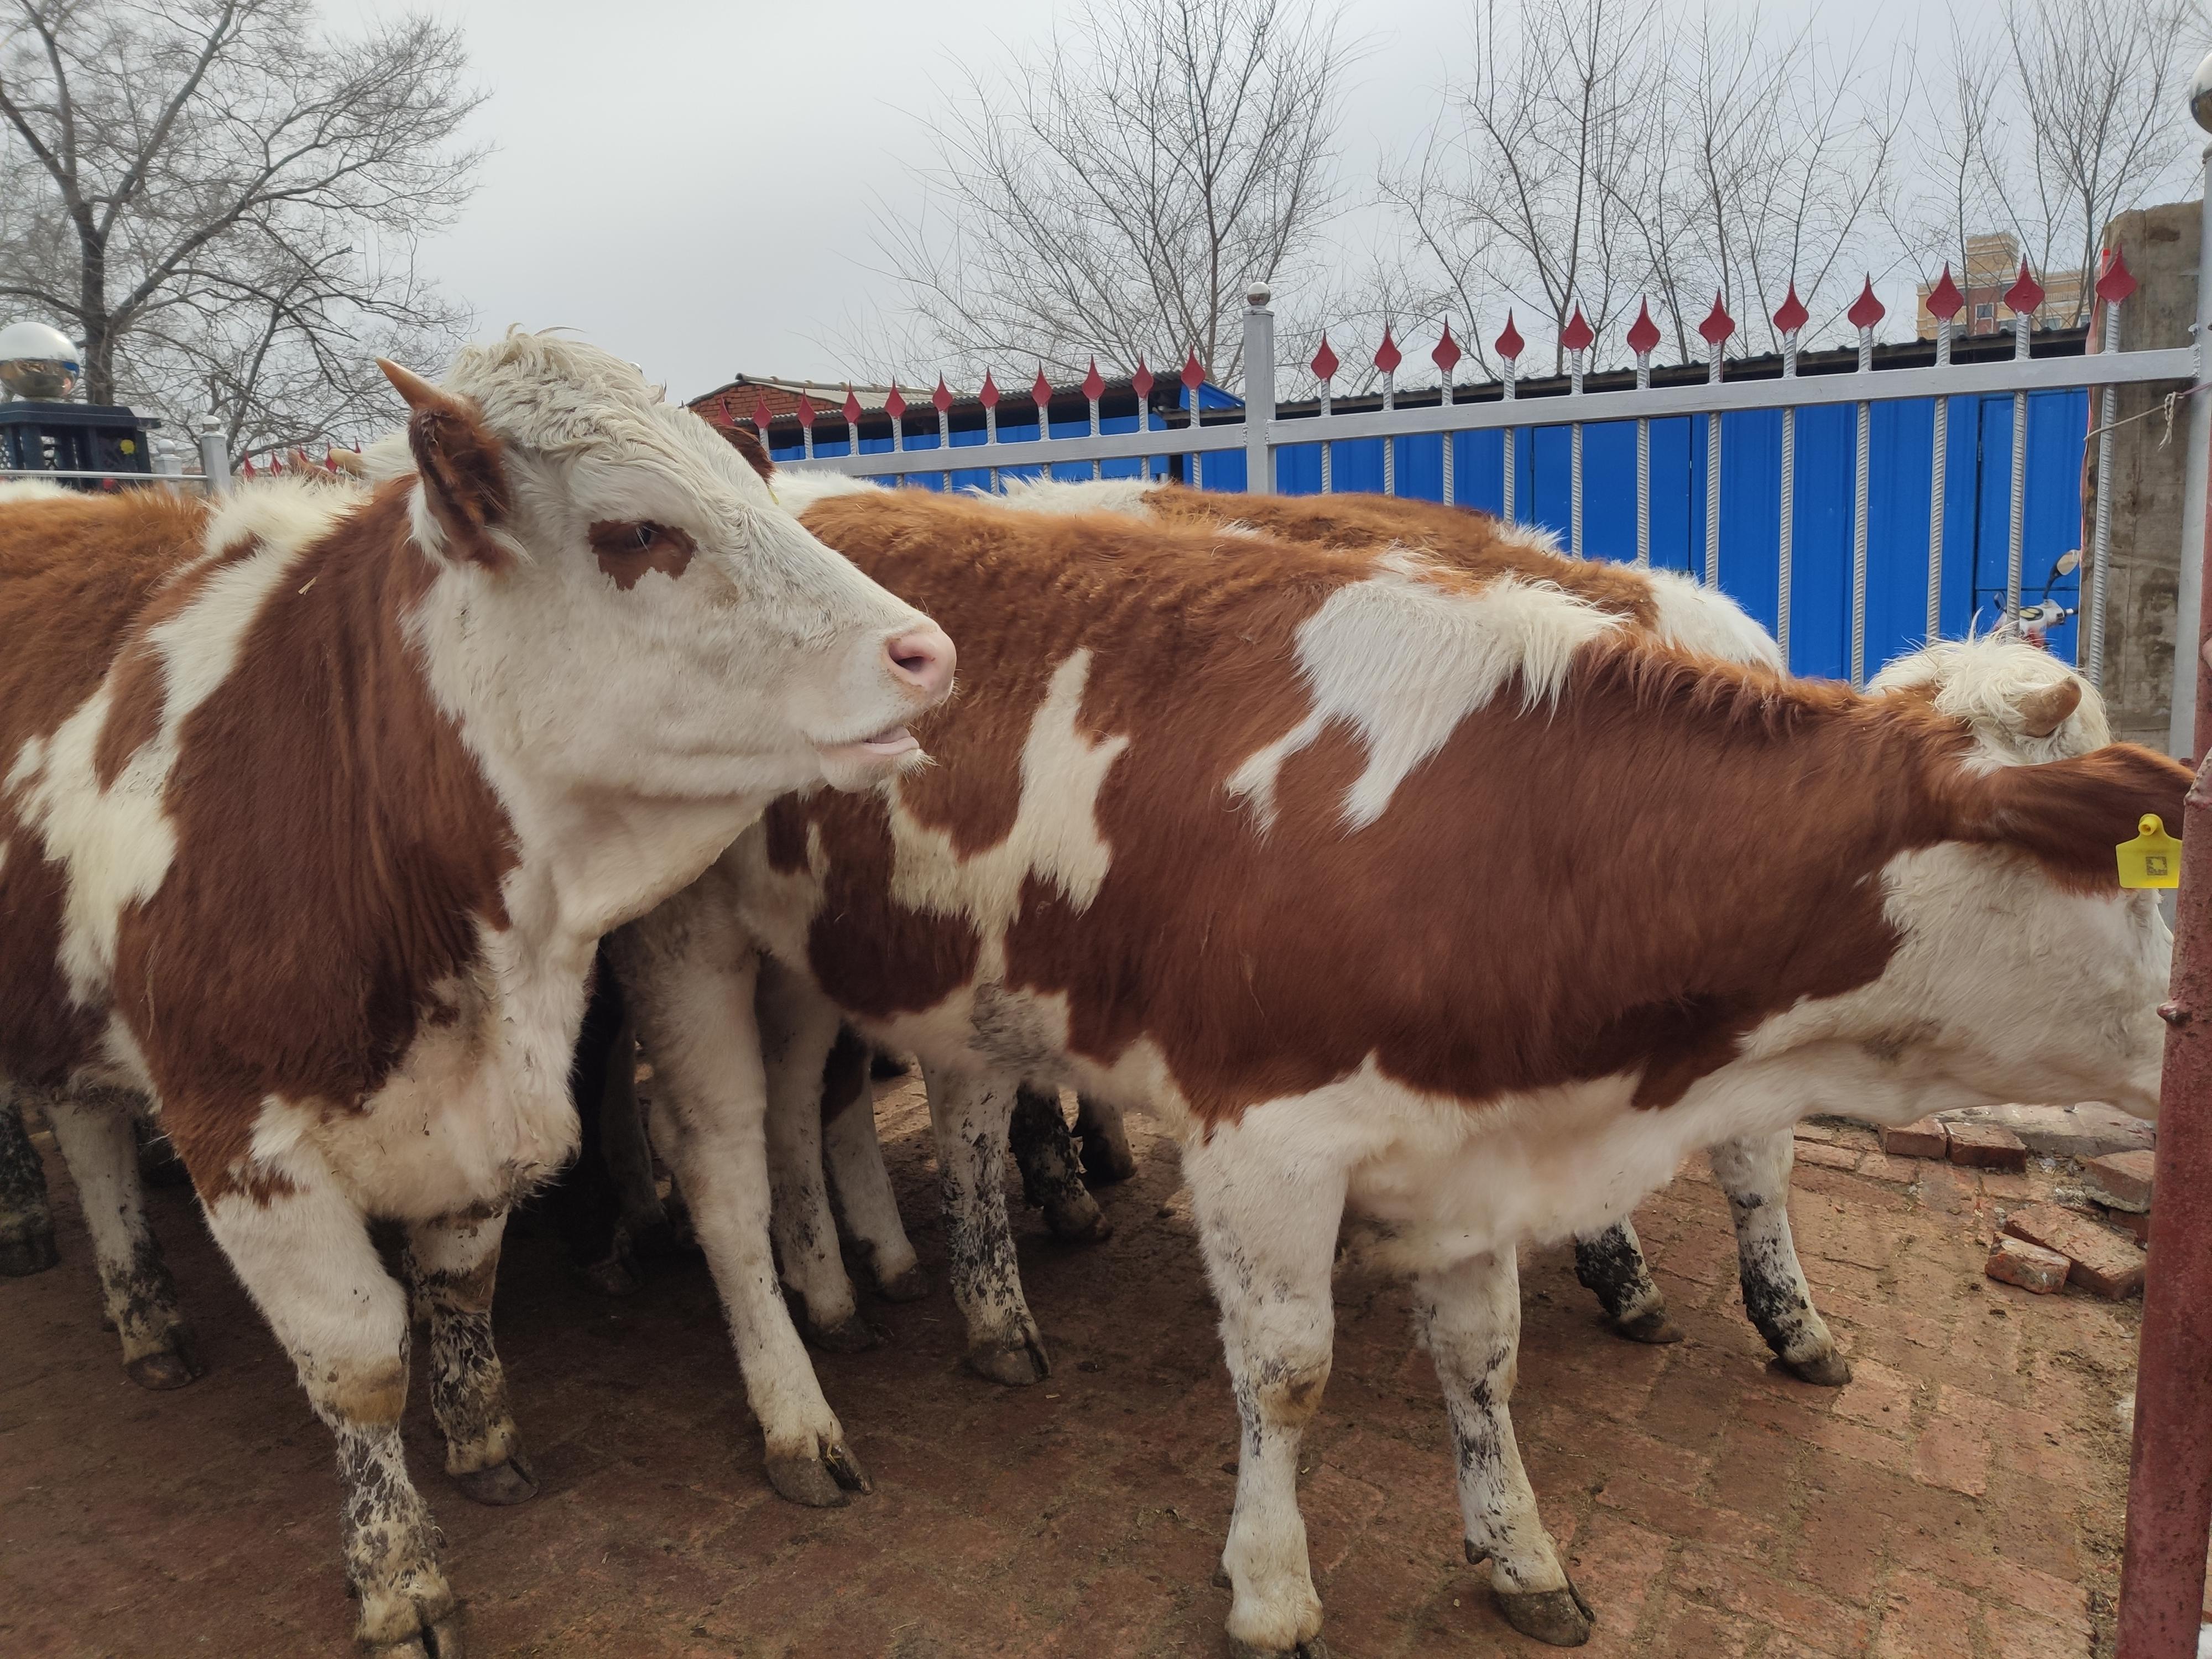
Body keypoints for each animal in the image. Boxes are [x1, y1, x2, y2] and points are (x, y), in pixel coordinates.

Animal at [0, 341, 951, 1659]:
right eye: (637, 531)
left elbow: (457, 1278)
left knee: (86, 1123)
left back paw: (145, 1317)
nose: (926, 652)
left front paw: (482, 1433)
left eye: (757, 489)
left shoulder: (488, 1103)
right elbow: (358, 1355)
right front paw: (399, 1577)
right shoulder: (238, 1133)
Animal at [624, 484, 2177, 1659]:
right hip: (686, 933)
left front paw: (1520, 1550)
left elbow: (1482, 1356)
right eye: (2142, 879)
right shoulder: (1262, 1133)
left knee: (846, 1102)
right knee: (722, 1167)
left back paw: (881, 1287)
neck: (1508, 825)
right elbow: (1287, 1370)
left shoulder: (1463, 1136)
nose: (2184, 1035)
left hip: (843, 954)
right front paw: (1269, 1589)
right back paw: (801, 1404)